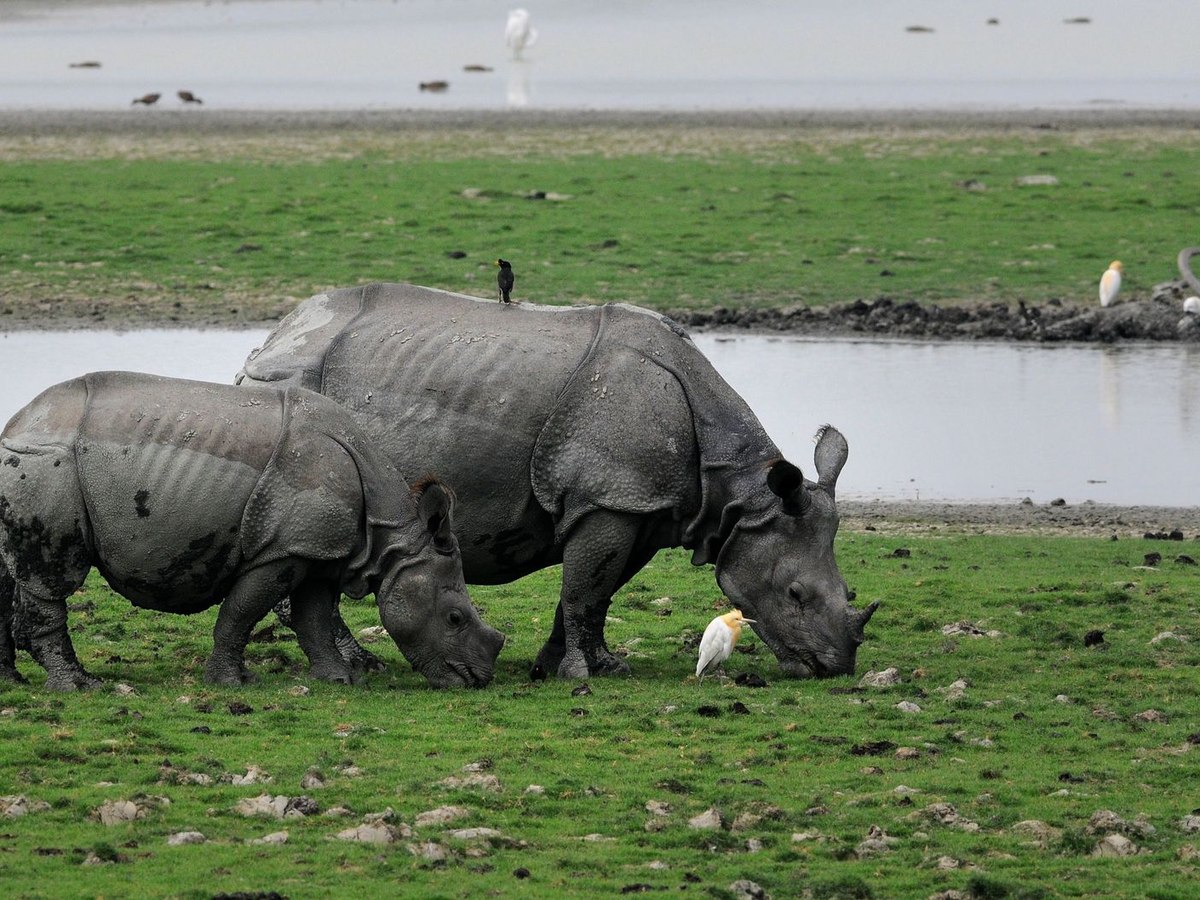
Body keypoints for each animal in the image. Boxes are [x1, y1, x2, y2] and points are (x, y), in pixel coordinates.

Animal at [0, 371, 504, 690]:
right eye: (455, 618)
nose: (478, 680)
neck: (391, 538)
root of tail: (19, 422)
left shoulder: (319, 550)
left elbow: (312, 618)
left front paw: (340, 681)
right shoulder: (284, 550)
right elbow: (242, 612)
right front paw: (232, 683)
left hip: (27, 463)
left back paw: (12, 683)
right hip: (48, 463)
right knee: (51, 577)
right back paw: (82, 687)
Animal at [238, 284, 877, 679]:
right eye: (794, 595)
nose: (833, 668)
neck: (740, 493)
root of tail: (273, 339)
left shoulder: (643, 506)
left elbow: (595, 590)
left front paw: (569, 665)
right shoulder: (610, 498)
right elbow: (586, 588)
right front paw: (586, 672)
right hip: (297, 386)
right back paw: (358, 665)